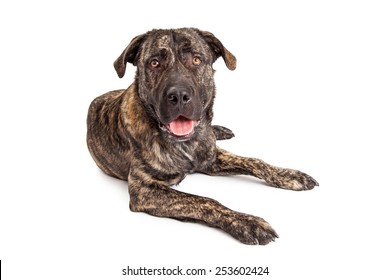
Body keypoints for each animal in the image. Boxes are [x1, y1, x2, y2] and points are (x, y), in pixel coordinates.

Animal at [87, 27, 318, 244]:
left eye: (196, 60)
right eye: (154, 63)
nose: (179, 95)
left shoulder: (210, 156)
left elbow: (254, 161)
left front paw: (289, 175)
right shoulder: (145, 190)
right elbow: (204, 201)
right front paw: (246, 222)